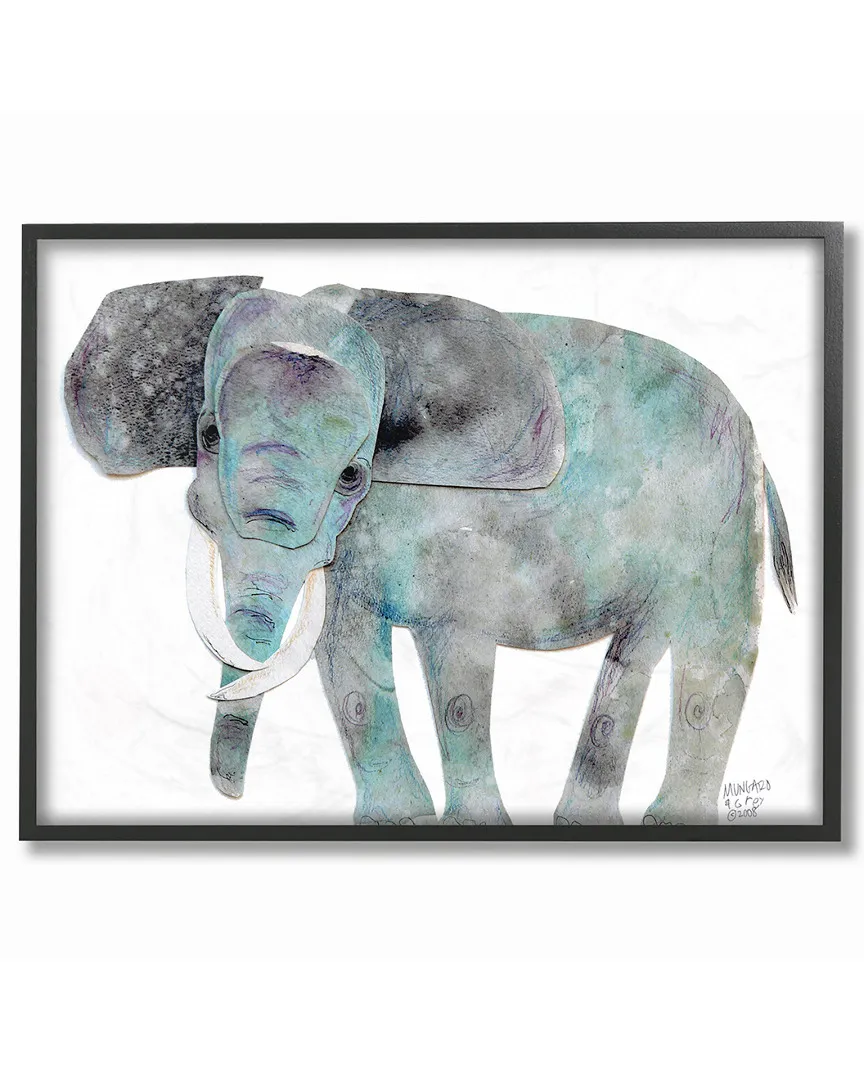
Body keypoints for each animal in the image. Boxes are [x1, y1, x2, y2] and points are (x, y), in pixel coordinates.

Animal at [65, 276, 796, 826]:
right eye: (208, 435)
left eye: (353, 474)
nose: (231, 793)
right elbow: (342, 647)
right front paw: (402, 820)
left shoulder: (457, 520)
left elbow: (455, 649)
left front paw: (473, 825)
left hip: (718, 521)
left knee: (703, 654)